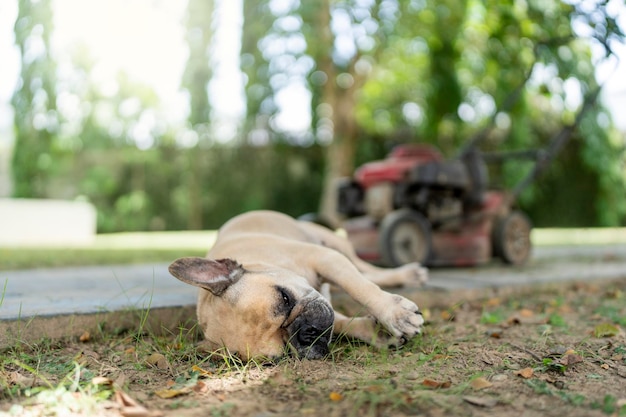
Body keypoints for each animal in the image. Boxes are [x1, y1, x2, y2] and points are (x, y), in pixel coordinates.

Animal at [168, 210, 426, 360]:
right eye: (284, 349)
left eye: (285, 298)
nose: (306, 333)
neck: (259, 261)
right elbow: (342, 322)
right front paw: (379, 333)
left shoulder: (325, 258)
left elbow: (361, 288)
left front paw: (395, 315)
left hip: (335, 243)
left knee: (366, 269)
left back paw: (408, 274)